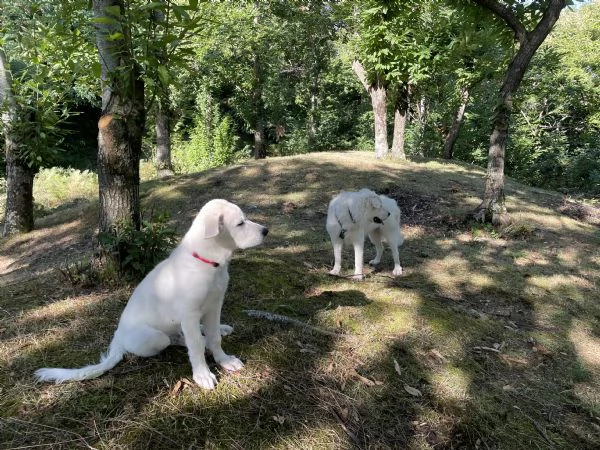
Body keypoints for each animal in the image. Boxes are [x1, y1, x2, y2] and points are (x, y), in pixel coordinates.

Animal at [37, 199, 270, 388]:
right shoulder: (189, 314)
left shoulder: (214, 305)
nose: (266, 231)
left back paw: (220, 329)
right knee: (177, 338)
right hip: (156, 337)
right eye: (240, 223)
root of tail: (117, 337)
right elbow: (195, 346)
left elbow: (214, 338)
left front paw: (224, 360)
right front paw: (202, 374)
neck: (207, 263)